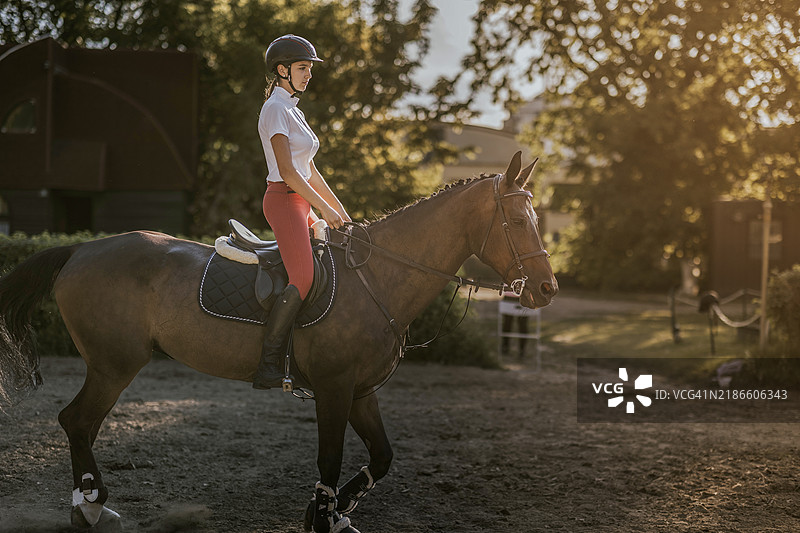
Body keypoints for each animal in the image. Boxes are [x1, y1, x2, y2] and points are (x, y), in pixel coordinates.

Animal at [0, 152, 557, 532]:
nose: (547, 289)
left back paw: (91, 504)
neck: (377, 278)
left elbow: (381, 457)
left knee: (82, 424)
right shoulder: (334, 388)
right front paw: (325, 516)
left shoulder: (360, 391)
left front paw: (333, 510)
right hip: (115, 364)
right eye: (517, 221)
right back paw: (91, 507)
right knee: (77, 421)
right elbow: (329, 457)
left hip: (111, 364)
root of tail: (80, 250)